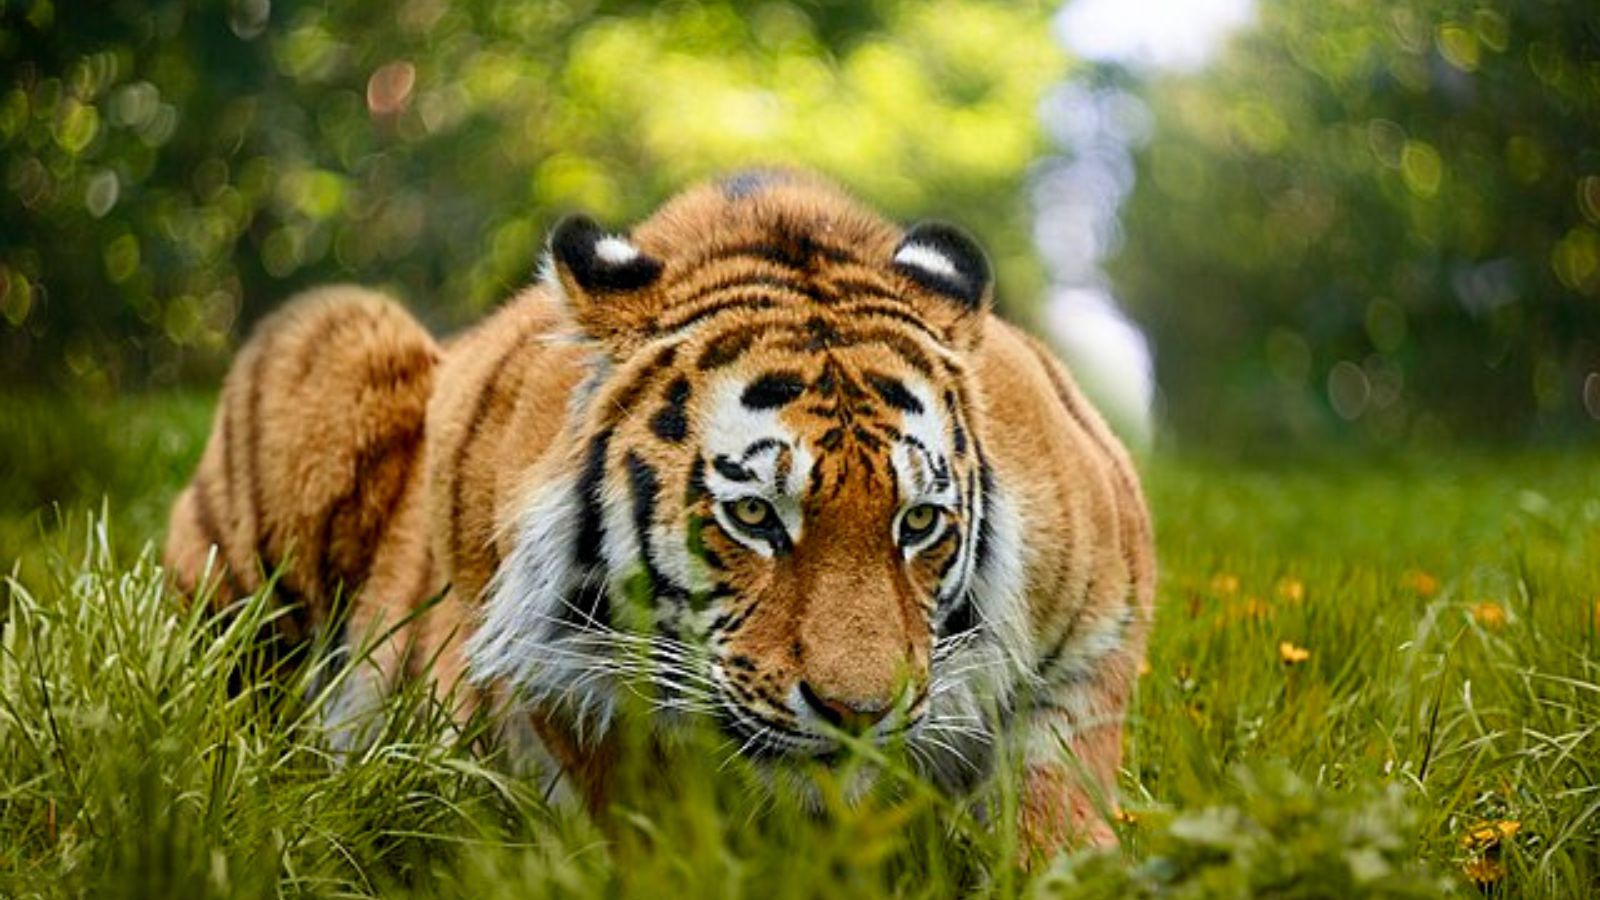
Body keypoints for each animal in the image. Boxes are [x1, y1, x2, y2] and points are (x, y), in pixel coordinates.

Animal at [163, 168, 1155, 857]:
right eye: (753, 516)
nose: (858, 715)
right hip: (325, 343)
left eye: (918, 524)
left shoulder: (1094, 632)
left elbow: (1054, 812)